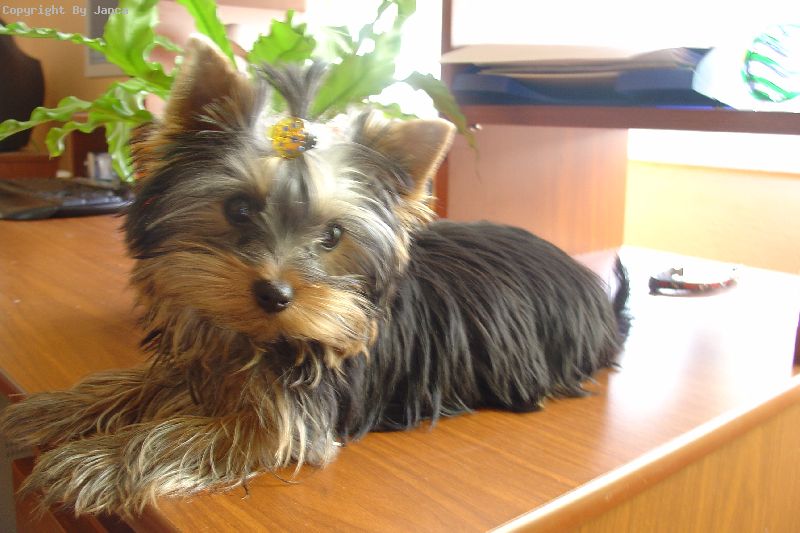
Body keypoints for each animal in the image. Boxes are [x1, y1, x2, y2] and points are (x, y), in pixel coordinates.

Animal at [0, 38, 631, 517]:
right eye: (239, 209)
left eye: (331, 236)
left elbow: (180, 432)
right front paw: (43, 412)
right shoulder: (204, 354)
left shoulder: (283, 423)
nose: (275, 294)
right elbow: (132, 384)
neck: (258, 340)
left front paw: (94, 461)